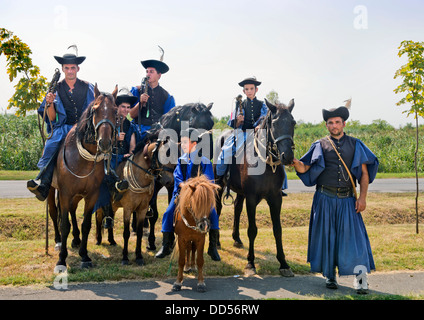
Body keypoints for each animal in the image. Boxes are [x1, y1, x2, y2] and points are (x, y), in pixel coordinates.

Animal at [53, 84, 119, 268]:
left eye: (115, 111)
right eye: (95, 110)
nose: (105, 142)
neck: (83, 161)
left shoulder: (91, 195)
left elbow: (86, 224)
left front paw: (84, 255)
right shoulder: (65, 193)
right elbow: (64, 225)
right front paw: (62, 259)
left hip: (76, 196)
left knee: (73, 211)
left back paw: (76, 239)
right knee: (54, 214)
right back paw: (58, 241)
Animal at [214, 99, 296, 276]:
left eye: (293, 123)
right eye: (274, 123)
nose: (287, 156)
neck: (266, 164)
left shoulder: (276, 199)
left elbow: (277, 229)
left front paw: (284, 263)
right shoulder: (251, 199)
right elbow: (252, 230)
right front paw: (250, 263)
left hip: (240, 192)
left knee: (237, 208)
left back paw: (236, 238)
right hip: (219, 184)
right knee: (217, 208)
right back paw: (216, 241)